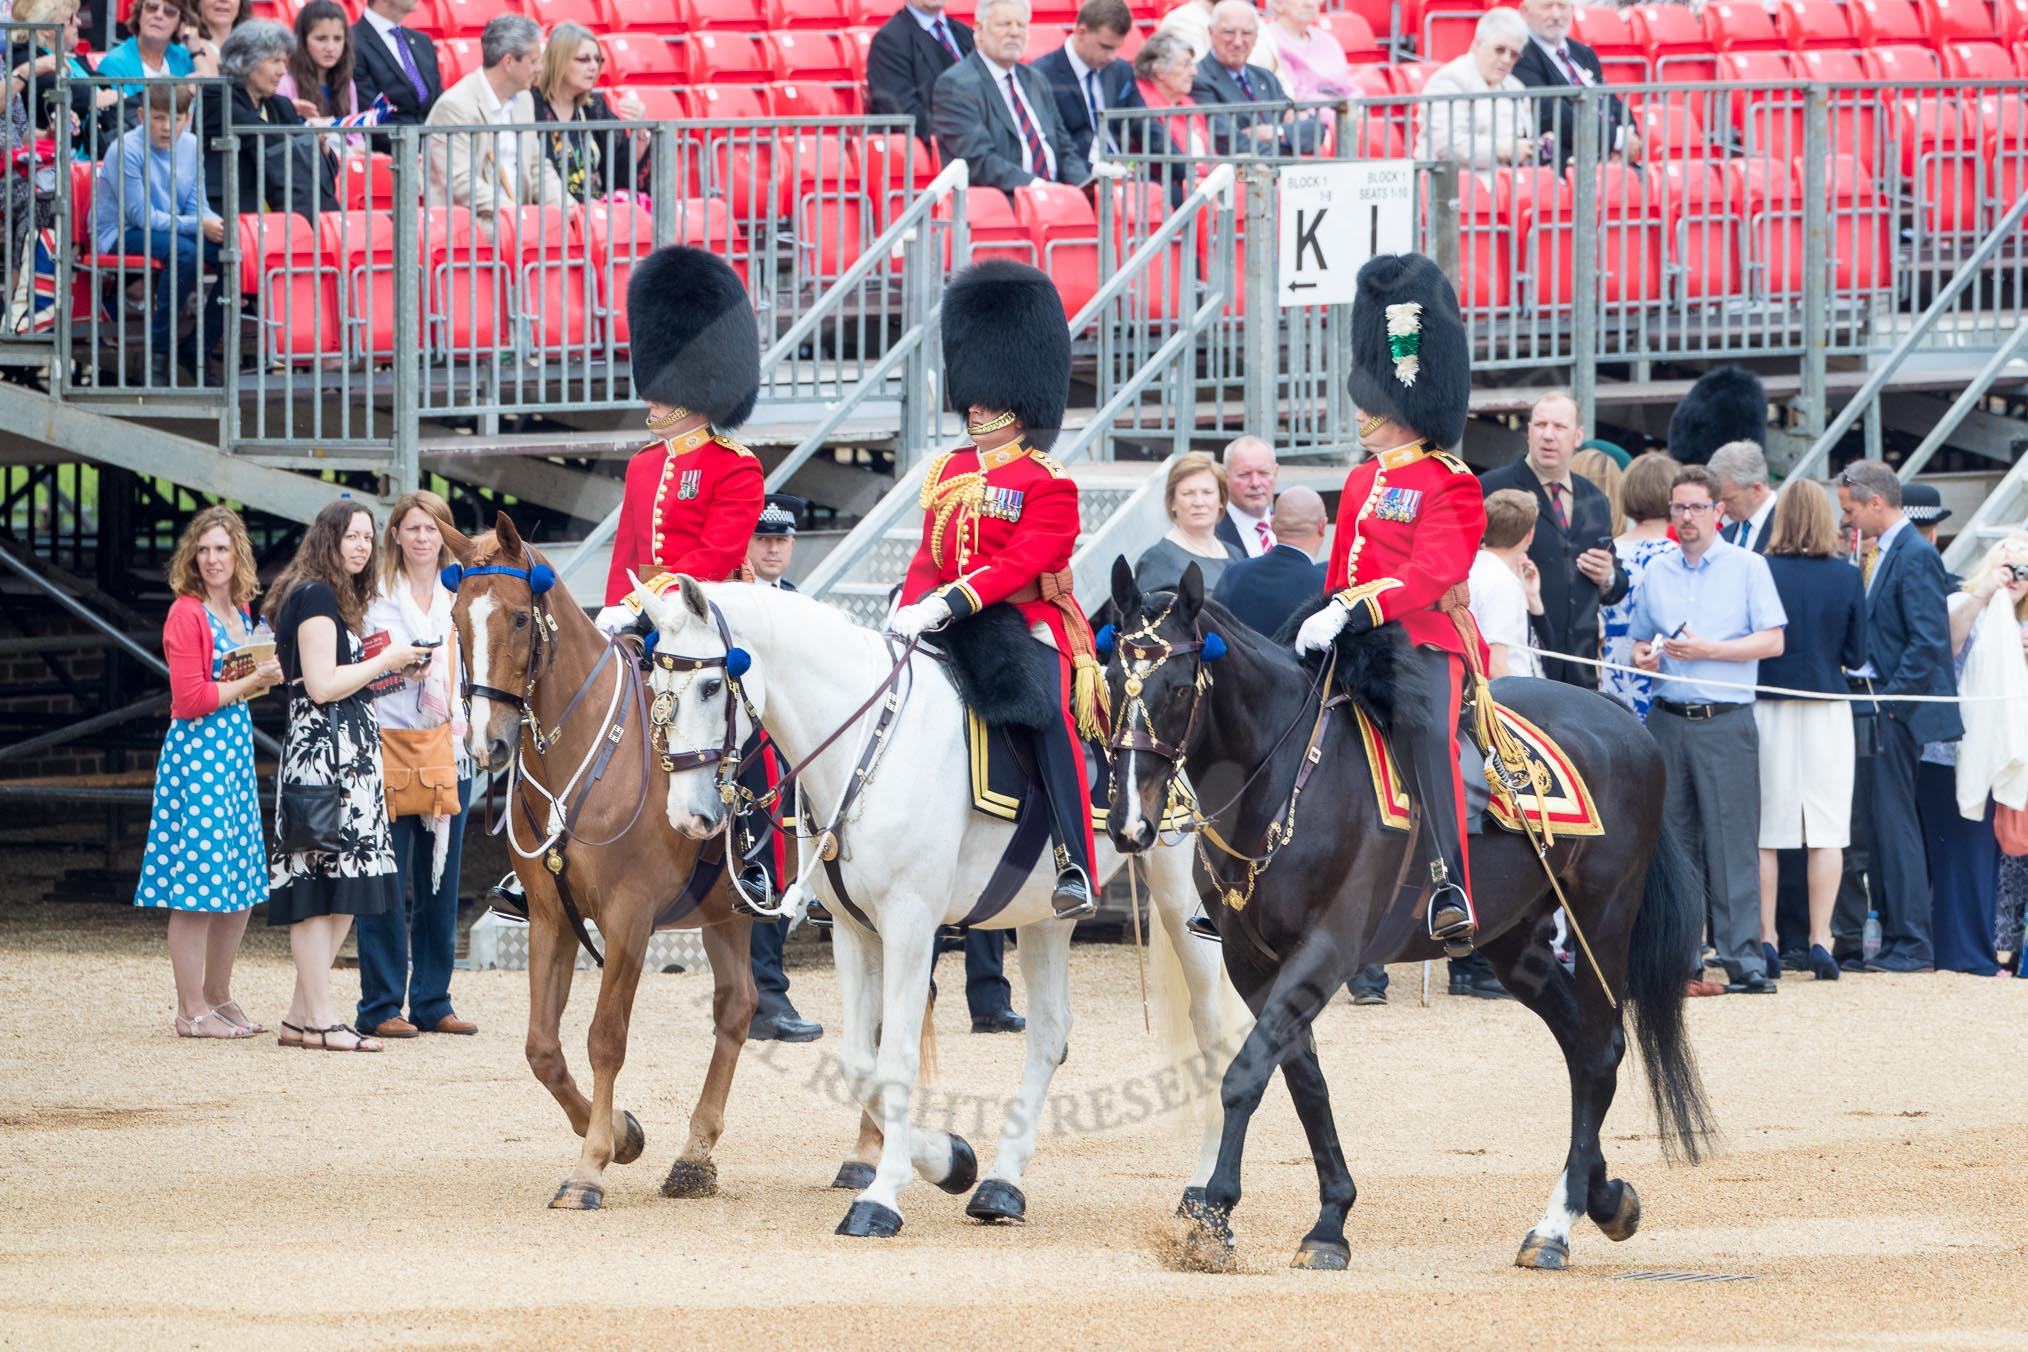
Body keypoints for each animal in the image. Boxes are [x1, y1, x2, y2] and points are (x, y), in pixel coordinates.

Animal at [444, 518, 762, 1216]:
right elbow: (542, 1048)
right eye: (455, 618)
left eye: (517, 618)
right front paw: (622, 1134)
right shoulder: (550, 916)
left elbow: (604, 1038)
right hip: (724, 913)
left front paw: (589, 1167)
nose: (488, 744)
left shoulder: (628, 919)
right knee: (738, 1007)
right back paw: (694, 1156)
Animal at [640, 575, 1241, 1240]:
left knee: (1212, 1028)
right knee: (1050, 1033)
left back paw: (1202, 1191)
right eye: (653, 685)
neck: (870, 744)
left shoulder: (909, 922)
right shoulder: (853, 931)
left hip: (1182, 896)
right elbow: (860, 1064)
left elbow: (896, 1056)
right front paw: (949, 1159)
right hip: (1043, 915)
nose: (689, 816)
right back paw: (1001, 1185)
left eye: (710, 686)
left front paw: (882, 1195)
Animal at [1111, 559, 1711, 1272]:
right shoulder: (1253, 962)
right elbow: (1302, 1079)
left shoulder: (1326, 951)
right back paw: (1602, 1196)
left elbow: (1246, 1076)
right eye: (1110, 678)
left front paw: (1214, 1213)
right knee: (1585, 1049)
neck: (1283, 778)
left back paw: (1557, 1226)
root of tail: (1627, 721)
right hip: (1515, 944)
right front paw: (1329, 1222)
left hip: (1602, 920)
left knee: (1601, 1047)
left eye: (1177, 688)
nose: (1128, 824)